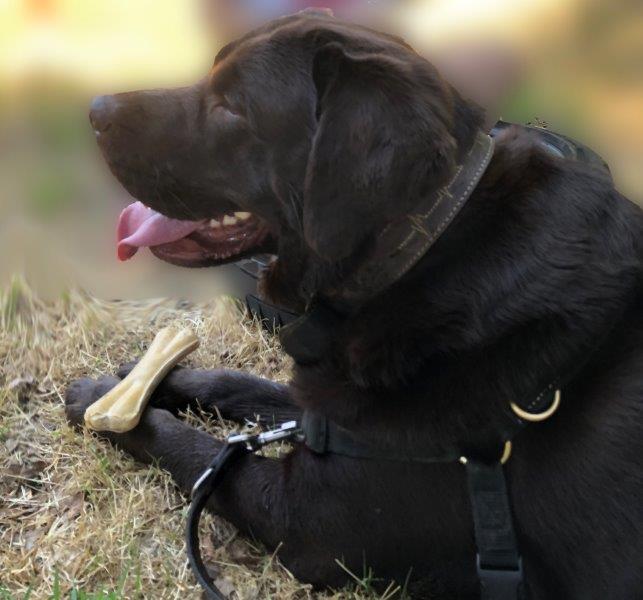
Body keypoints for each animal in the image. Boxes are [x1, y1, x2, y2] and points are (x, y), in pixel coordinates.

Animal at [66, 9, 643, 600]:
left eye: (232, 106)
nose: (94, 109)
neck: (420, 250)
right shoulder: (333, 413)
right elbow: (243, 385)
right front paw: (143, 380)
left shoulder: (303, 518)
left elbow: (195, 449)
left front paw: (104, 404)